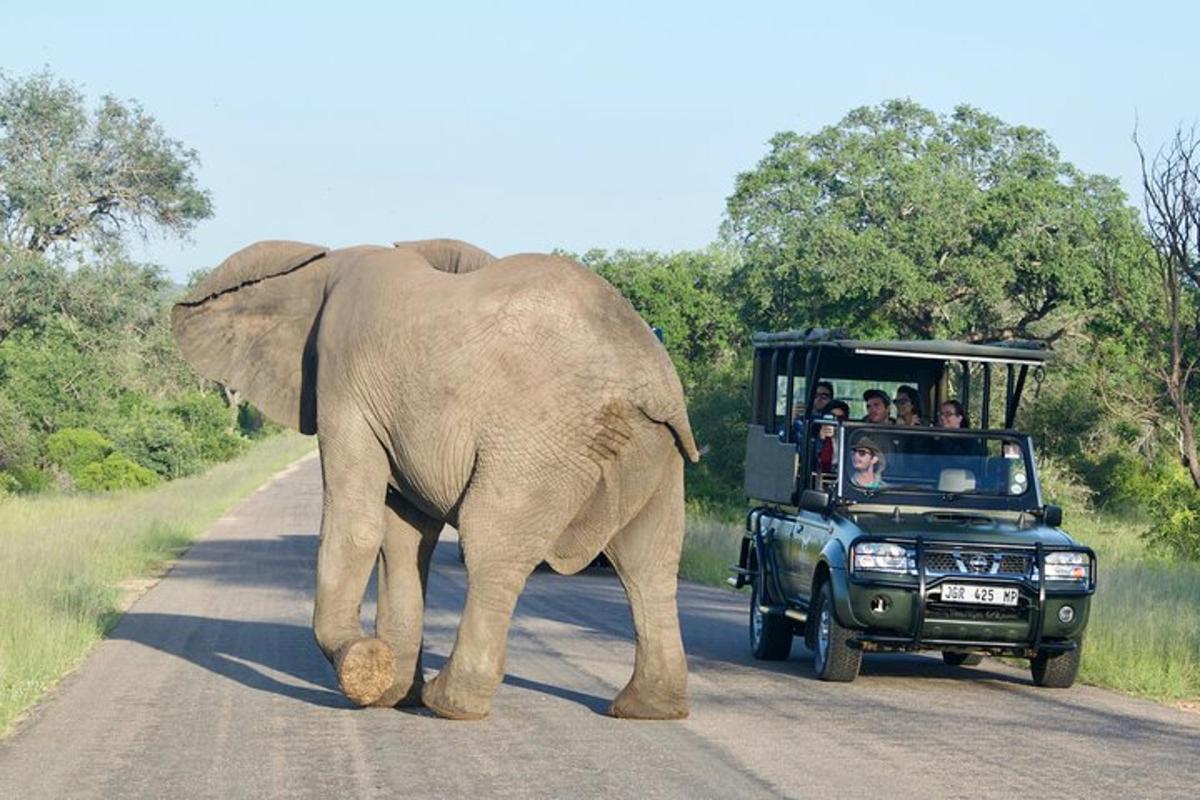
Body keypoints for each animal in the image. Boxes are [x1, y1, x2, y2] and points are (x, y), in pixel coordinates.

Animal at [168, 237, 696, 719]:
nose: (368, 659)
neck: (324, 263)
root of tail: (647, 378)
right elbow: (405, 539)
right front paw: (392, 694)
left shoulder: (345, 385)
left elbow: (359, 526)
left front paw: (368, 672)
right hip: (656, 452)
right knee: (647, 562)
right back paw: (646, 708)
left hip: (539, 441)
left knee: (492, 545)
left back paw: (451, 704)